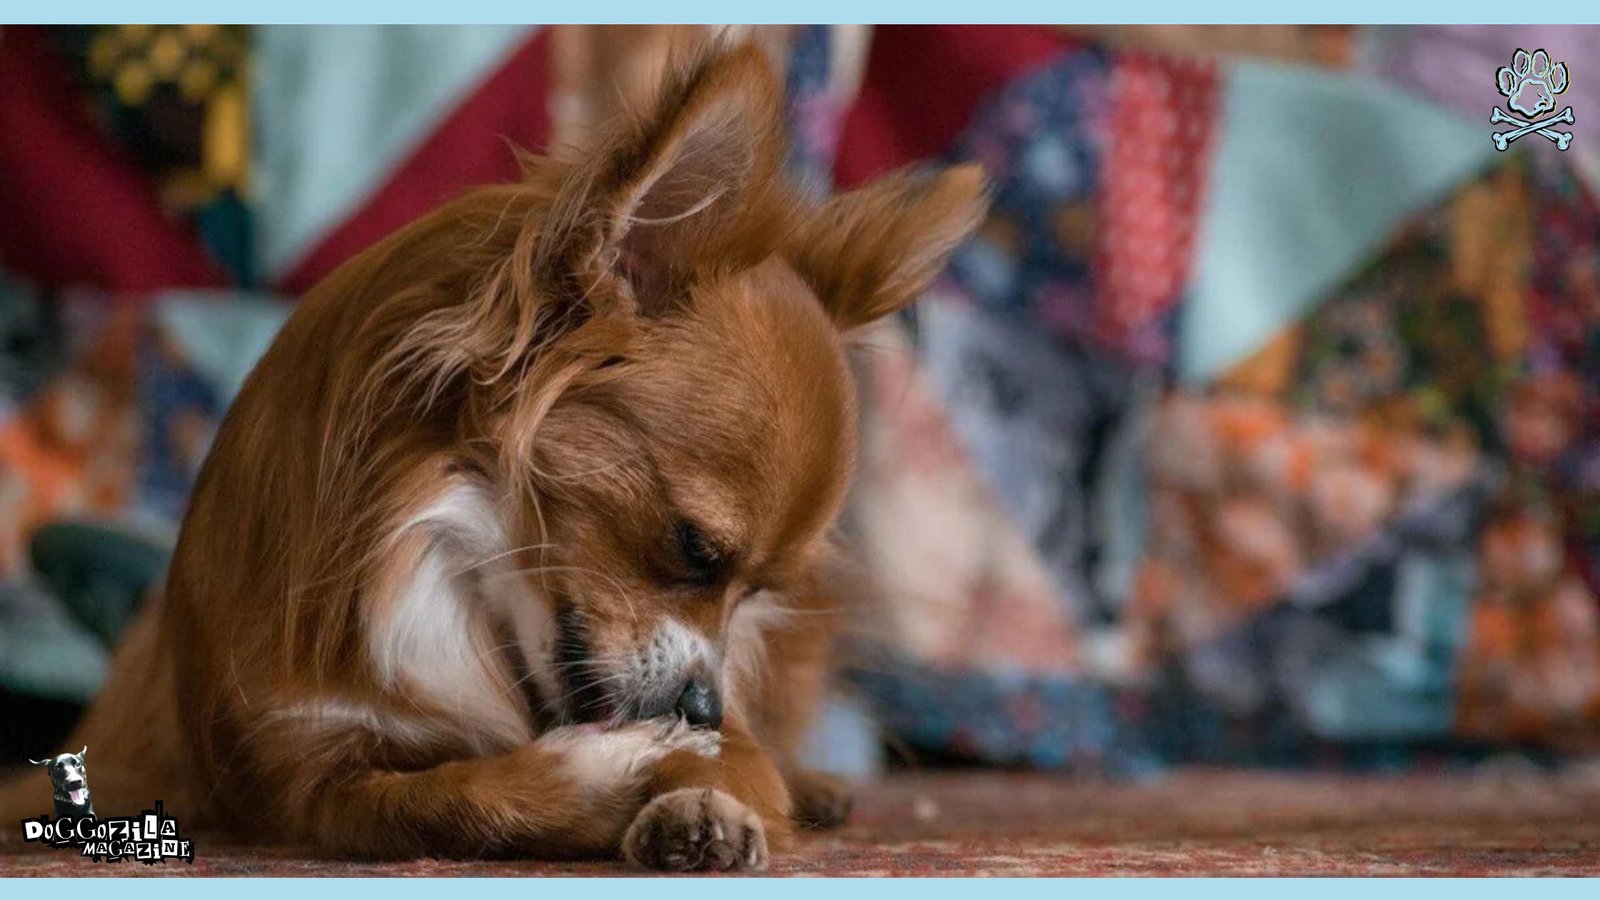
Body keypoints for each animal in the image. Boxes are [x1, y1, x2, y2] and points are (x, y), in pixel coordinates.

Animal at [0, 43, 985, 871]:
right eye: (694, 549)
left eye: (757, 594)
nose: (705, 705)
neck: (444, 559)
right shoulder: (303, 778)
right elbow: (456, 797)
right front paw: (609, 769)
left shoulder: (734, 736)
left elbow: (734, 767)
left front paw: (700, 804)